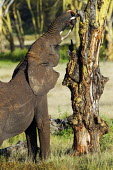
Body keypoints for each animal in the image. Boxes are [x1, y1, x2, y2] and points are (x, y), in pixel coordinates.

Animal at [0, 10, 77, 162]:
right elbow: (42, 121)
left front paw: (30, 161)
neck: (28, 63)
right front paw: (45, 161)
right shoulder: (38, 94)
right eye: (52, 47)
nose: (72, 14)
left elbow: (30, 126)